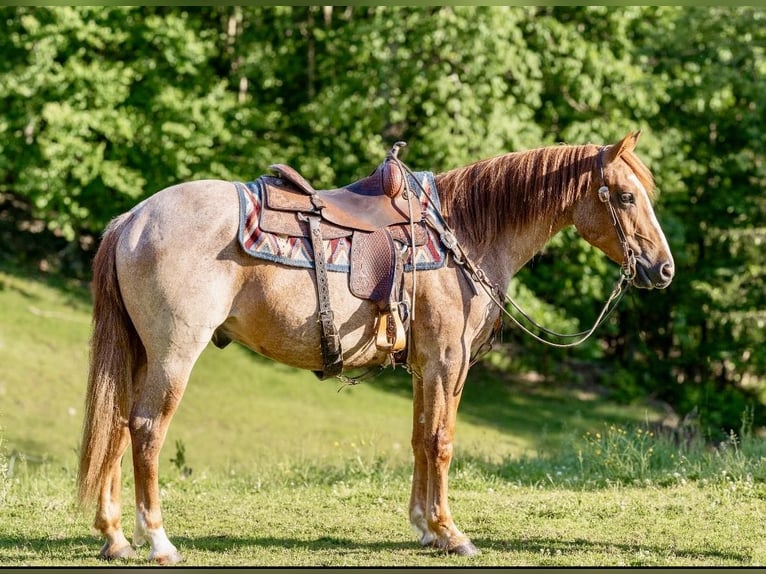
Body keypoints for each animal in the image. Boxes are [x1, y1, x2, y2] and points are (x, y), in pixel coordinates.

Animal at [77, 131, 674, 564]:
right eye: (625, 196)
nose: (663, 269)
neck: (463, 232)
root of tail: (133, 219)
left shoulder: (424, 366)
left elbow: (419, 438)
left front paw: (424, 527)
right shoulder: (448, 360)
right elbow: (441, 441)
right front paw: (451, 532)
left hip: (138, 354)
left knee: (117, 426)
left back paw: (115, 537)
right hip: (174, 353)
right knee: (147, 429)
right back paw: (157, 540)